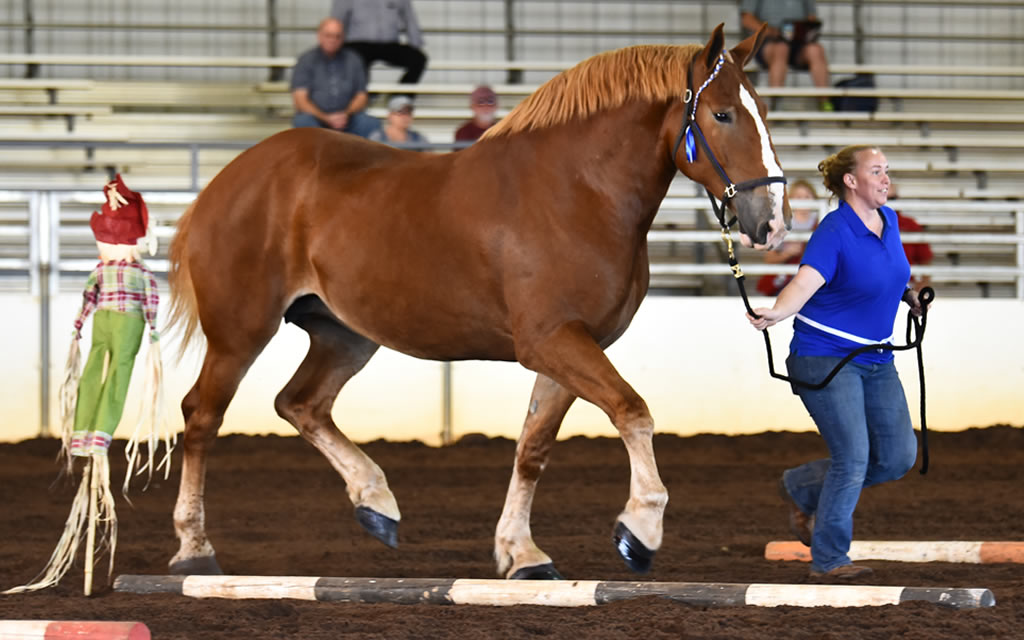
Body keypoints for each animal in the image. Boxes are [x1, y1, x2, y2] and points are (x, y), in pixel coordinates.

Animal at [169, 24, 790, 577]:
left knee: (301, 404)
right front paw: (640, 529)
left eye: (763, 110)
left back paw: (377, 504)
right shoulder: (552, 341)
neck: (576, 191)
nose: (772, 222)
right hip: (240, 333)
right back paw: (194, 550)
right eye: (722, 114)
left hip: (345, 335)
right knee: (201, 417)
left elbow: (532, 449)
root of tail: (226, 181)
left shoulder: (571, 348)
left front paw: (521, 553)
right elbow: (633, 412)